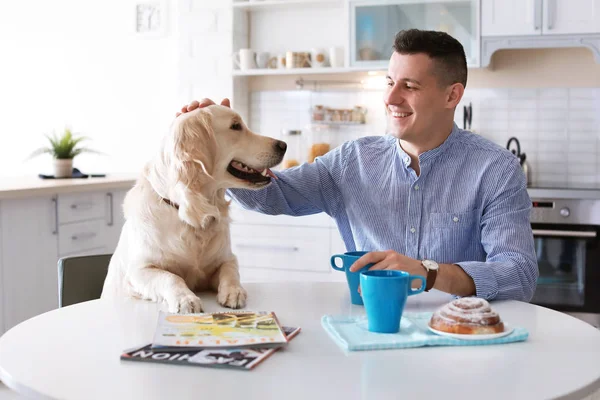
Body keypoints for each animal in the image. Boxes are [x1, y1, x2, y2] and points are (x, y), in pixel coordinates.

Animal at [100, 105, 286, 312]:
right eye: (236, 126)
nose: (284, 145)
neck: (194, 212)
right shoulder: (138, 271)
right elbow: (171, 277)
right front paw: (185, 299)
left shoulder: (226, 258)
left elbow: (231, 269)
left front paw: (234, 291)